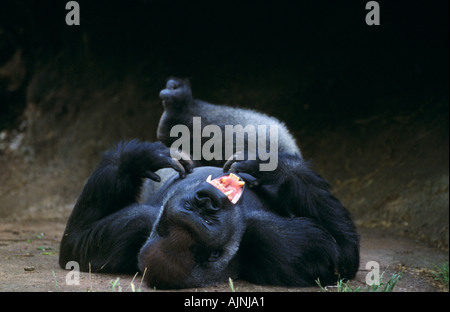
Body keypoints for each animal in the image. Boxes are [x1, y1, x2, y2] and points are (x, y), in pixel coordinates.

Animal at [58, 77, 358, 288]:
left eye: (197, 210)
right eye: (205, 219)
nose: (207, 200)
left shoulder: (134, 227)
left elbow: (73, 246)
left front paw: (139, 158)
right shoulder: (287, 245)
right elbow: (343, 257)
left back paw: (179, 111)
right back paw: (183, 112)